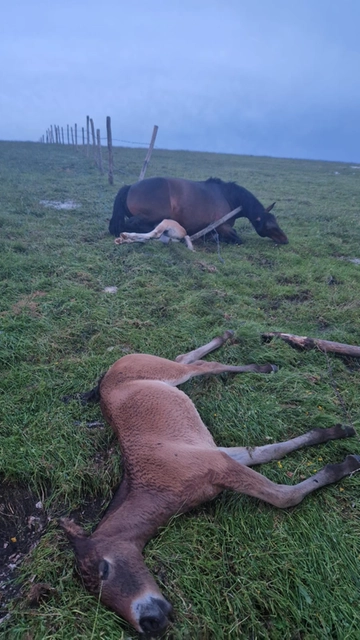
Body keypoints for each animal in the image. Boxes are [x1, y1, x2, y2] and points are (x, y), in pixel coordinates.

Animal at [61, 332, 358, 636]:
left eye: (104, 569)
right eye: (99, 598)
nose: (150, 625)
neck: (157, 486)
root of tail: (110, 370)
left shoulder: (217, 465)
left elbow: (283, 496)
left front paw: (345, 463)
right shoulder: (220, 456)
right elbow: (270, 452)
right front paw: (332, 432)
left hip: (168, 373)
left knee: (202, 366)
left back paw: (261, 364)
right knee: (184, 358)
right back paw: (226, 339)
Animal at [108, 178, 288, 245]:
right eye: (269, 225)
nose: (285, 239)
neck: (228, 197)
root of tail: (130, 187)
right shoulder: (223, 227)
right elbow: (238, 239)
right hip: (154, 215)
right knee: (133, 224)